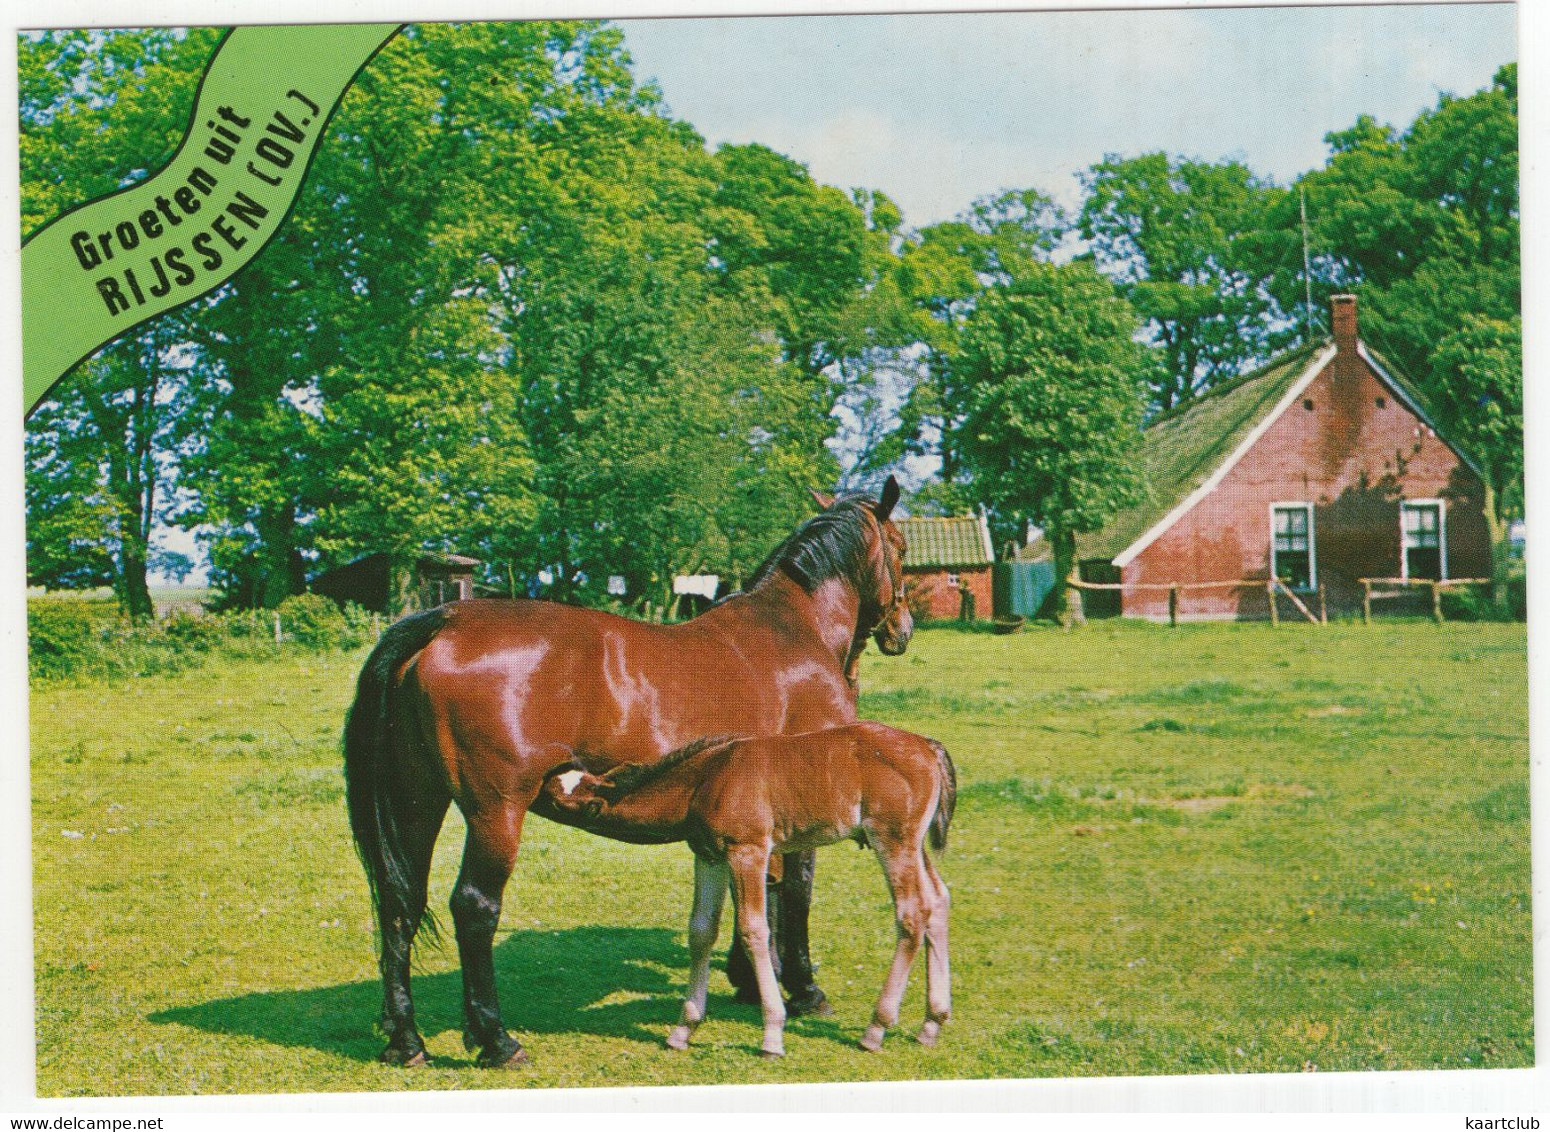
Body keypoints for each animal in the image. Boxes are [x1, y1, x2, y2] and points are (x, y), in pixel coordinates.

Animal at [545, 719, 954, 1054]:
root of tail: (929, 746)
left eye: (559, 799)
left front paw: (772, 1033)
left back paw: (876, 1029)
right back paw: (931, 1023)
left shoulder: (749, 852)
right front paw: (683, 1029)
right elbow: (701, 931)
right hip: (913, 844)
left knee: (912, 914)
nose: (539, 783)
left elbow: (753, 929)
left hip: (892, 839)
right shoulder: (708, 855)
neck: (706, 779)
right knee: (938, 901)